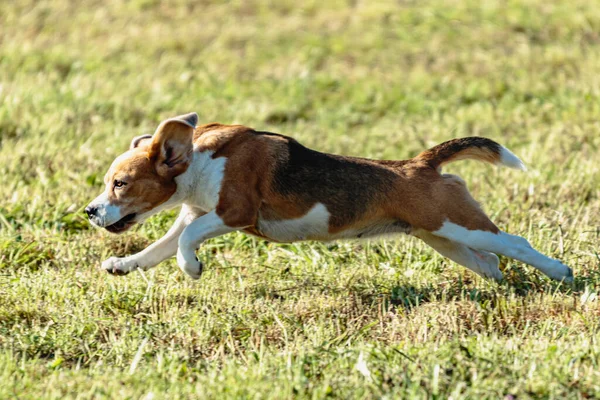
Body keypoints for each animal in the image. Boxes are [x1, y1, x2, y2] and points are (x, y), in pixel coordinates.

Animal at [86, 111, 576, 282]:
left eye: (120, 184)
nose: (89, 211)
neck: (197, 158)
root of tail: (420, 165)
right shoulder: (193, 214)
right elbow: (159, 248)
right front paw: (123, 265)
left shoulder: (232, 213)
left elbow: (185, 245)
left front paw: (192, 269)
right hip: (443, 236)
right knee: (489, 262)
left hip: (457, 224)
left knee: (516, 244)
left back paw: (561, 273)